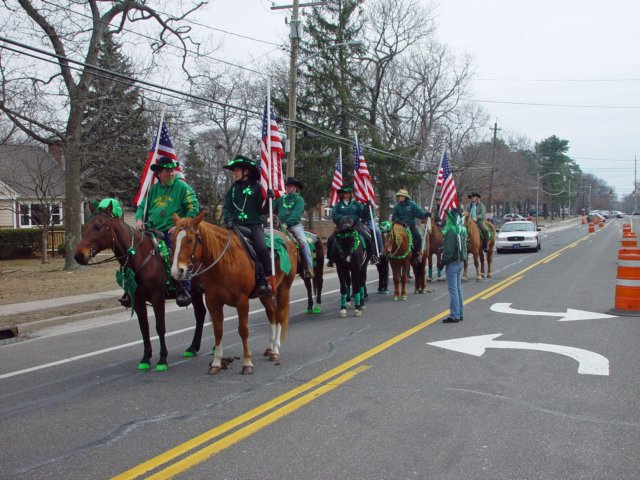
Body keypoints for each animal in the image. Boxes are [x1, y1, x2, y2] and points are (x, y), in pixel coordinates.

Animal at [74, 202, 206, 372]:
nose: (78, 255)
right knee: (201, 314)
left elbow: (160, 327)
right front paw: (146, 358)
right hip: (196, 293)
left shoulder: (157, 298)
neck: (140, 257)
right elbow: (144, 328)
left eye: (98, 225)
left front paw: (162, 359)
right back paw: (192, 348)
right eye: (85, 226)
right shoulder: (137, 300)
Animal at [171, 213, 298, 376]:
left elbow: (243, 330)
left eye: (190, 240)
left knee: (280, 315)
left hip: (284, 288)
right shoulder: (213, 302)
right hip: (265, 295)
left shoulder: (242, 301)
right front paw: (216, 363)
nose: (177, 271)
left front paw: (247, 363)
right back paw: (270, 348)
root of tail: (287, 238)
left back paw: (275, 350)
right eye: (173, 239)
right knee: (272, 314)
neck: (224, 262)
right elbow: (218, 331)